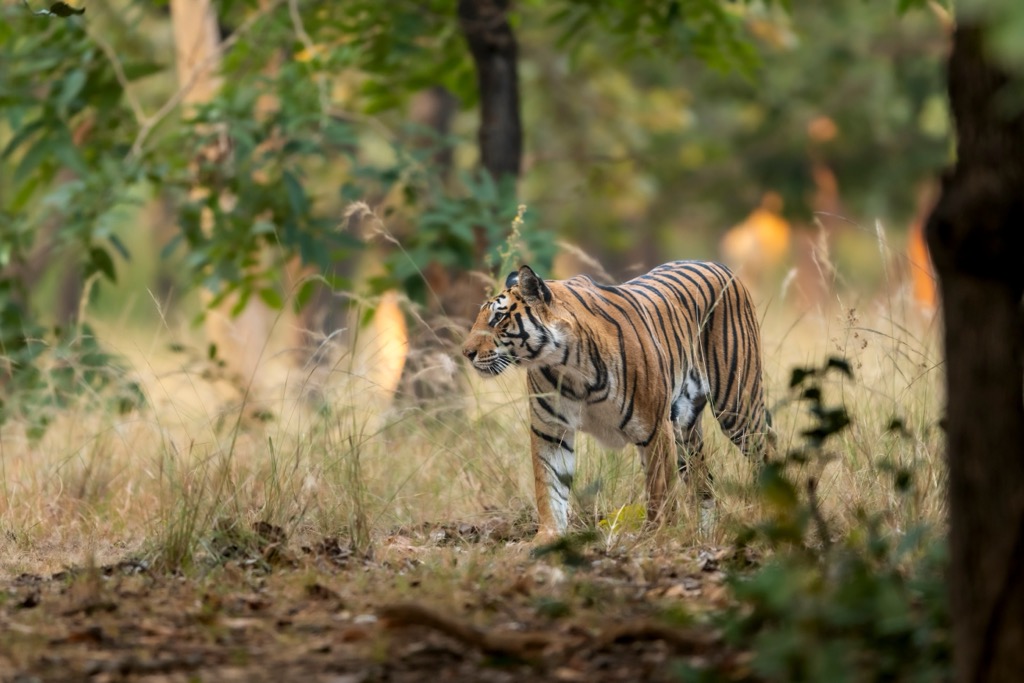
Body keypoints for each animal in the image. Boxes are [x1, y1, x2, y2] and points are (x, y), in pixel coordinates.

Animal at [461, 260, 774, 539]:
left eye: (499, 318)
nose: (466, 352)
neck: (567, 366)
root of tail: (719, 265)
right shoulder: (550, 432)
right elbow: (549, 489)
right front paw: (546, 539)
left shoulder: (654, 429)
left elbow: (658, 491)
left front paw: (655, 537)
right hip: (686, 427)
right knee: (703, 482)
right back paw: (704, 536)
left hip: (737, 408)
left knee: (765, 450)